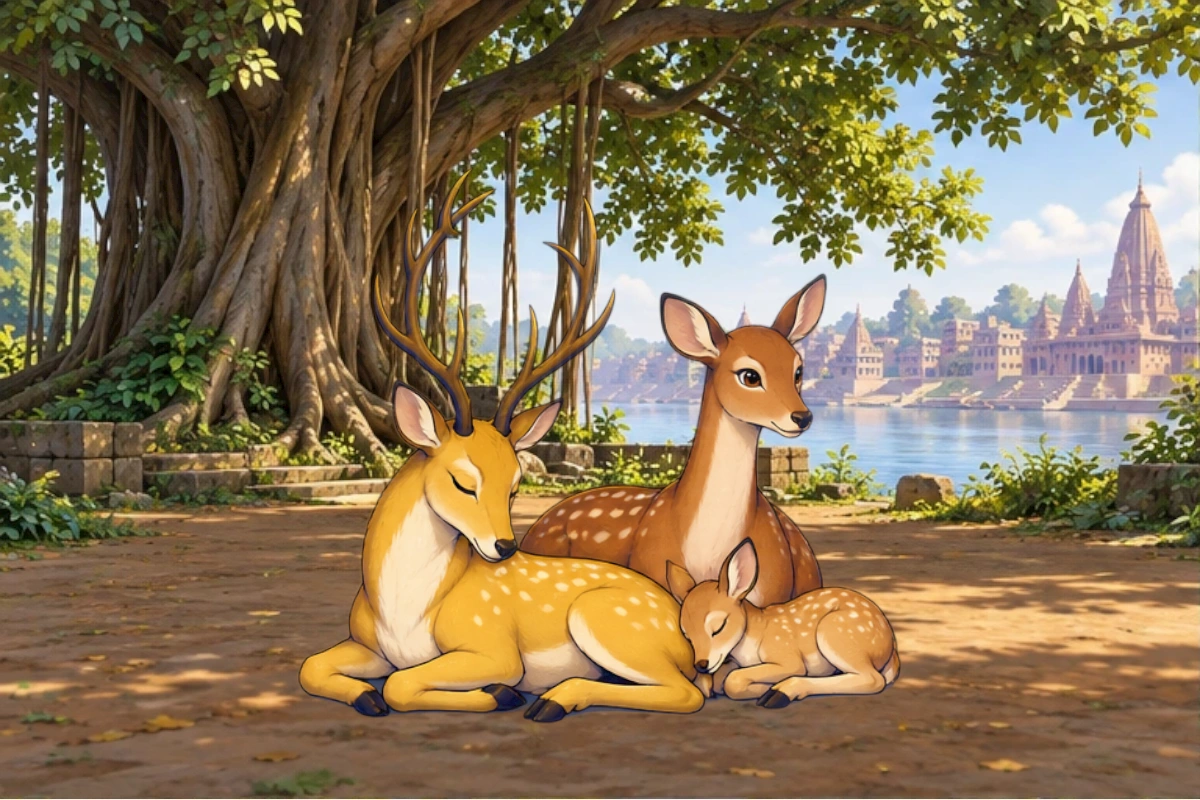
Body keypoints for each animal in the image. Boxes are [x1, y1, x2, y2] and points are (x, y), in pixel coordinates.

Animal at [299, 178, 705, 722]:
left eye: (516, 487)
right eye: (462, 481)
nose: (506, 547)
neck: (403, 616)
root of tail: (685, 626)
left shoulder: (492, 647)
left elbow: (402, 685)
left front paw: (502, 693)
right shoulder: (366, 645)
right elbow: (312, 667)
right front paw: (365, 695)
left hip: (604, 618)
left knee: (687, 691)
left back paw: (554, 700)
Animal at [666, 539, 900, 707]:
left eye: (718, 627)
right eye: (686, 634)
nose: (701, 664)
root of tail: (891, 643)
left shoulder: (787, 657)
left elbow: (733, 680)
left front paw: (763, 689)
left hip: (834, 631)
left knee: (874, 679)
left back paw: (780, 693)